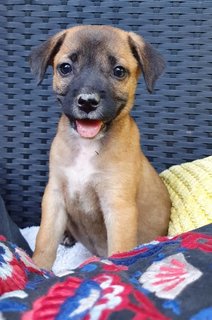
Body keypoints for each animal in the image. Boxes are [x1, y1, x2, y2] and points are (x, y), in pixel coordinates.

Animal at [29, 25, 171, 270]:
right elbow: (45, 240)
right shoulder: (54, 196)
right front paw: (38, 268)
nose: (87, 102)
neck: (87, 146)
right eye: (65, 68)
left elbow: (119, 249)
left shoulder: (118, 206)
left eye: (119, 71)